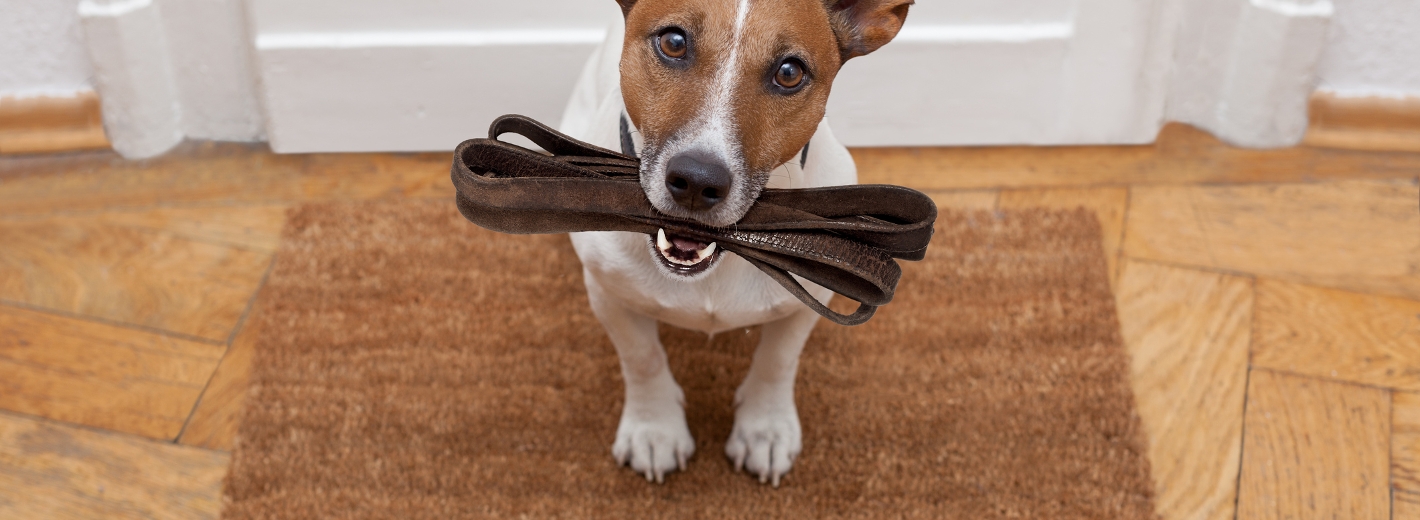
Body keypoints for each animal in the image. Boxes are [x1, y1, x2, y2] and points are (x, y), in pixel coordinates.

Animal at [553, 1, 908, 488]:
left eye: (790, 72)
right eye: (673, 42)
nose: (696, 181)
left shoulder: (807, 301)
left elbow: (778, 361)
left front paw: (765, 429)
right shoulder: (608, 292)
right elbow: (642, 357)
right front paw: (654, 430)